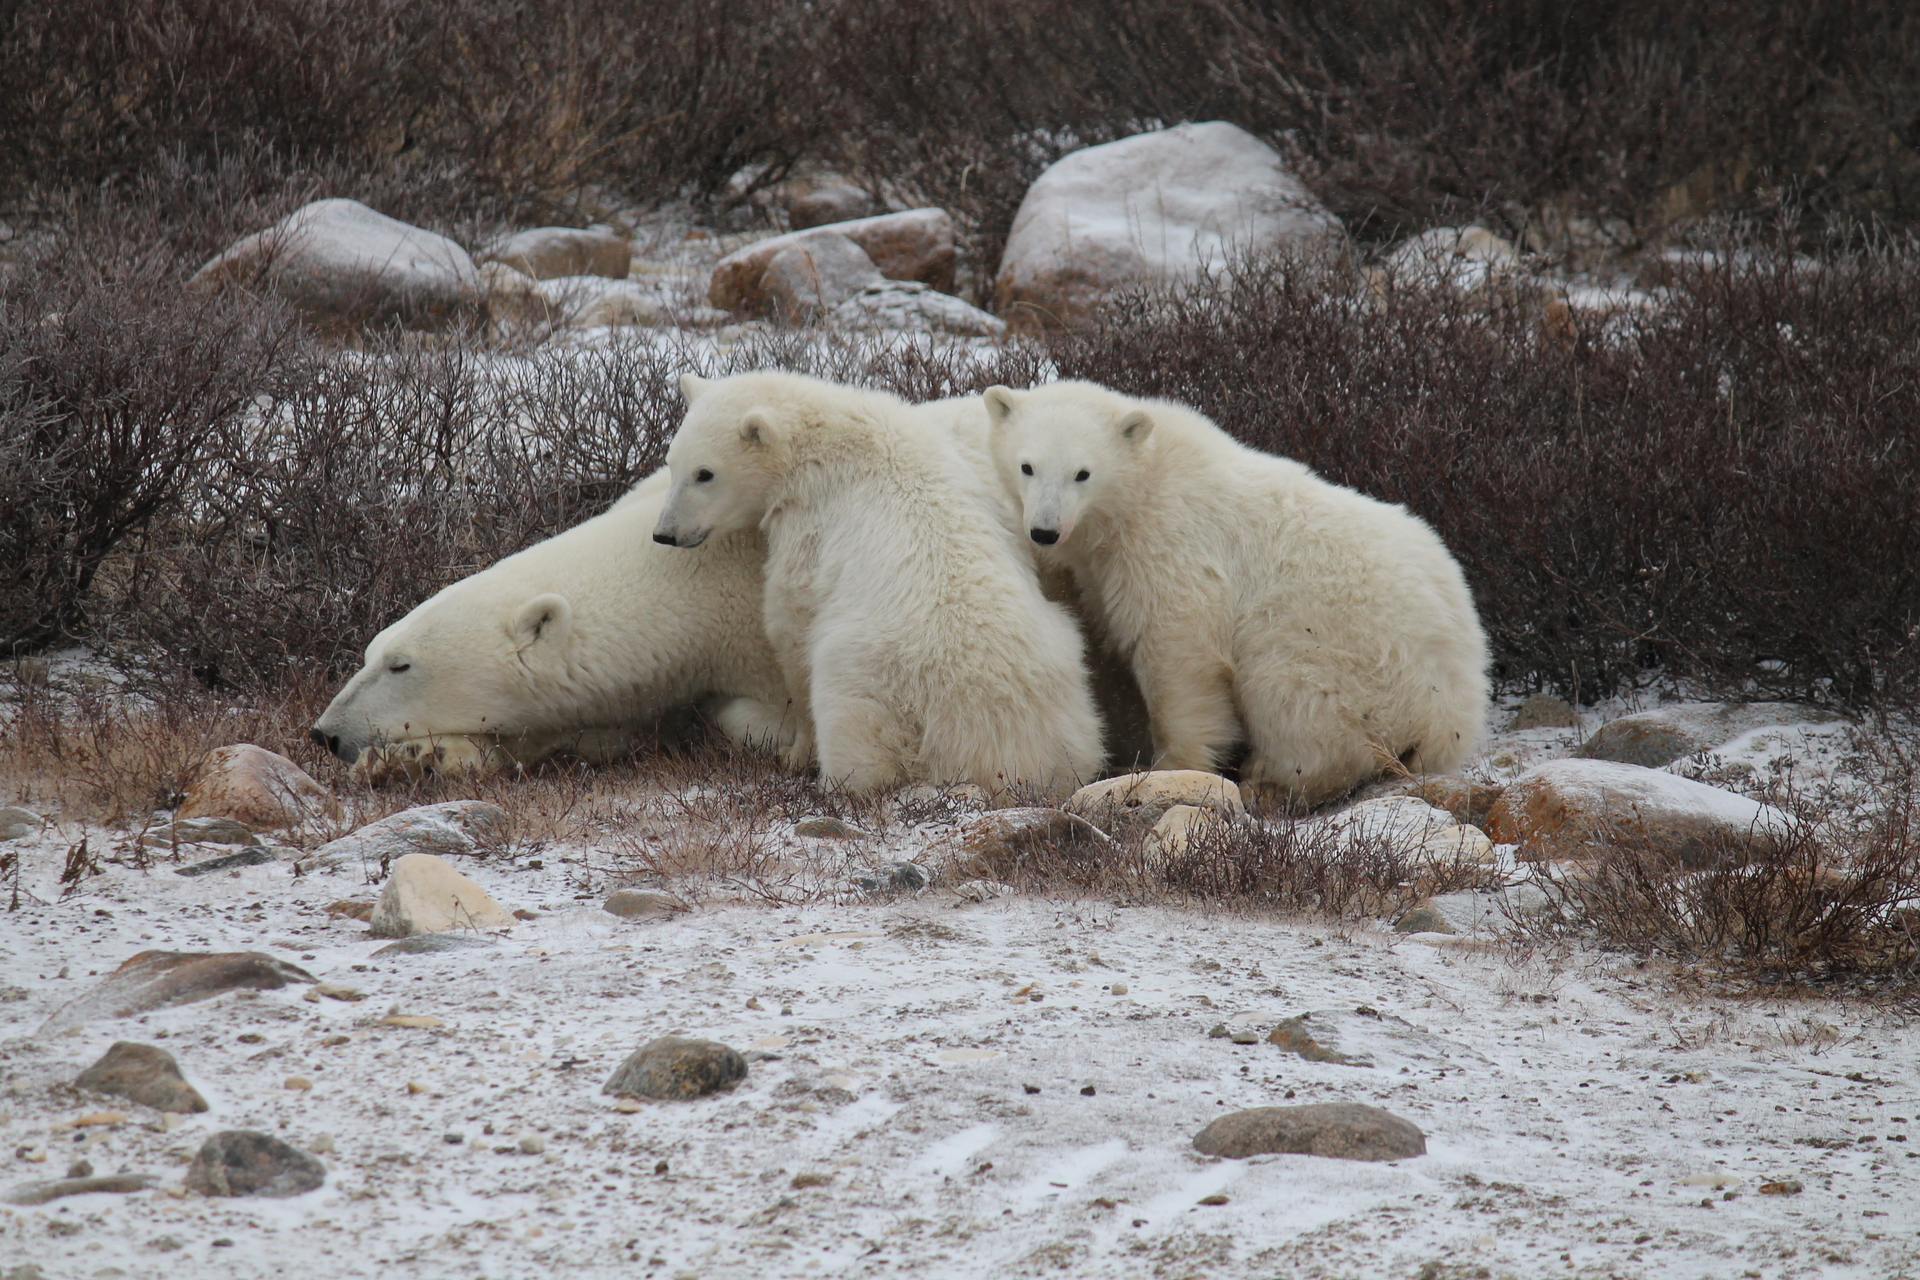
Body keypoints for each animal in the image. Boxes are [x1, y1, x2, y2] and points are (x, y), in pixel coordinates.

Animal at [652, 370, 1105, 797]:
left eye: (705, 473)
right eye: (672, 463)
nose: (665, 533)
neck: (829, 438)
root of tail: (1001, 752)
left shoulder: (811, 522)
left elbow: (792, 622)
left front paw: (794, 752)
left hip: (881, 687)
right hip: (1067, 683)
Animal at [982, 379, 1490, 808]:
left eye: (1083, 473)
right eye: (1027, 466)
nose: (1045, 531)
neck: (1148, 485)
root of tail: (1448, 719)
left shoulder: (1175, 546)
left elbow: (1180, 654)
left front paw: (1169, 766)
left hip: (1343, 660)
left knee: (1296, 703)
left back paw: (1270, 778)